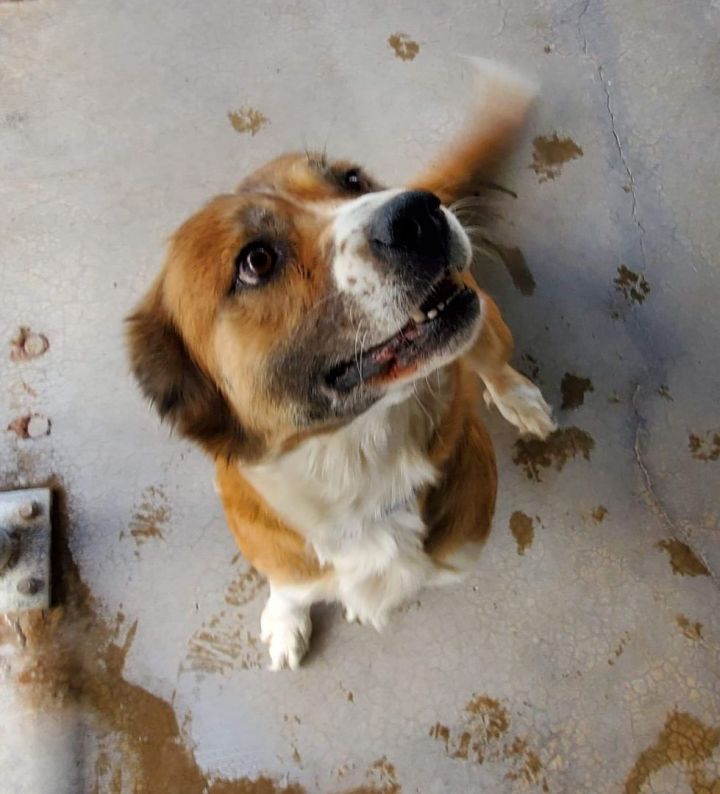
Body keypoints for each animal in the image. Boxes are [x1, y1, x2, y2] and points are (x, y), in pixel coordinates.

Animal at [126, 58, 556, 664]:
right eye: (256, 261)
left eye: (351, 181)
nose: (419, 211)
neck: (353, 458)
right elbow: (291, 585)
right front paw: (287, 616)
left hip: (484, 316)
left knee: (492, 359)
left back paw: (516, 396)